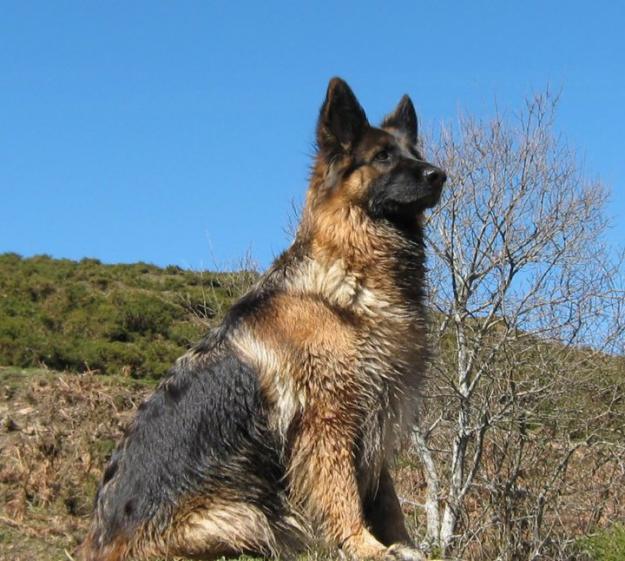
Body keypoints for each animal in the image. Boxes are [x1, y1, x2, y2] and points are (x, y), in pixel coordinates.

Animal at [80, 77, 444, 560]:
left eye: (413, 152)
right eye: (382, 156)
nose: (438, 175)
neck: (346, 277)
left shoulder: (376, 415)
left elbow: (386, 498)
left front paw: (402, 544)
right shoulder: (327, 421)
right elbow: (343, 493)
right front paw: (363, 545)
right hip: (246, 513)